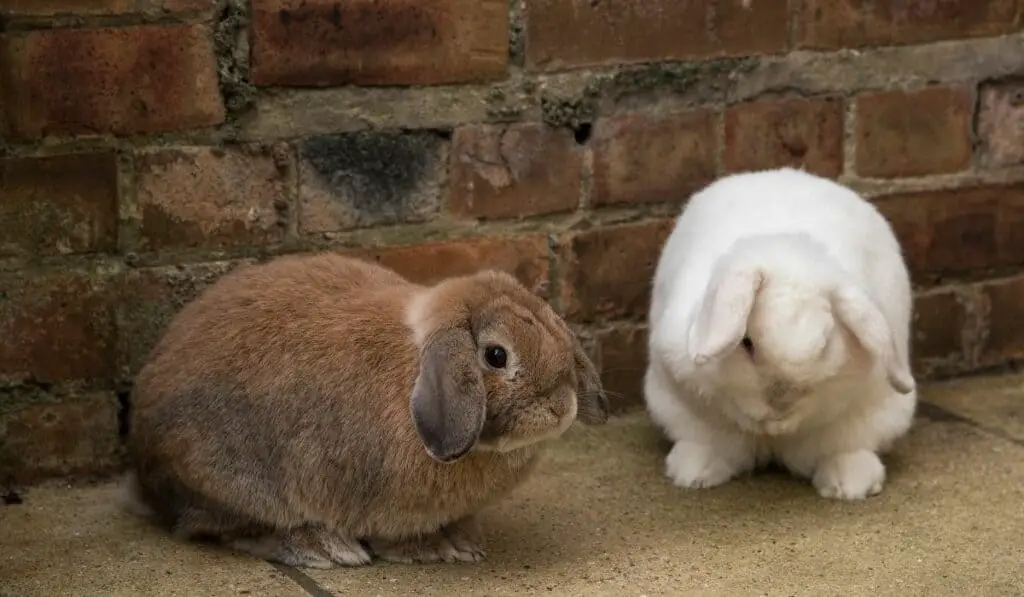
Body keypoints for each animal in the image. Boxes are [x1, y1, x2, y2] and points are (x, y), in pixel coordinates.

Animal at [126, 251, 606, 569]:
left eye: (555, 327)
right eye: (495, 356)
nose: (561, 407)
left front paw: (462, 542)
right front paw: (434, 549)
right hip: (229, 481)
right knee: (225, 526)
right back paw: (320, 548)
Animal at [643, 166, 917, 499]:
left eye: (825, 345)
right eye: (746, 343)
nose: (781, 404)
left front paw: (782, 424)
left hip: (872, 418)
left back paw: (848, 484)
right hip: (678, 411)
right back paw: (696, 473)